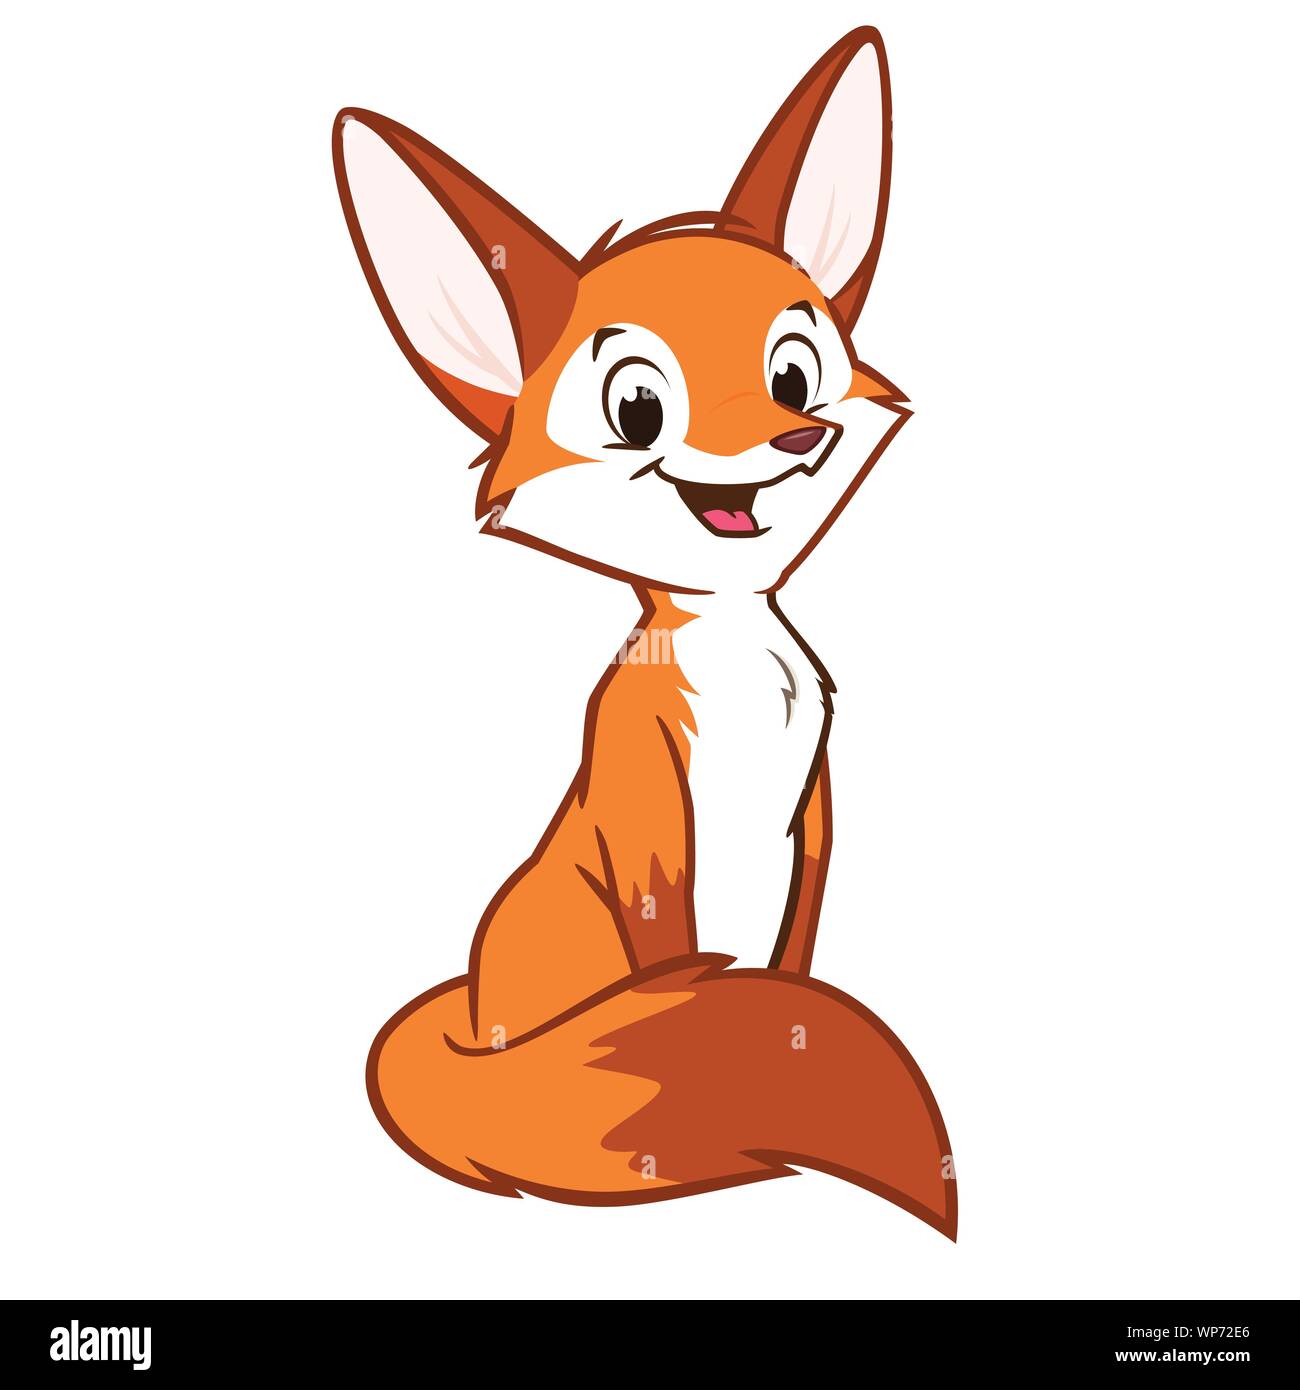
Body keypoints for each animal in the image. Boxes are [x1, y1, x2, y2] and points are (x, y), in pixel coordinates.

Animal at [333, 27, 956, 1236]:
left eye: (793, 371)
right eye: (638, 409)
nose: (796, 435)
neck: (739, 659)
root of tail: (470, 1025)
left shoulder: (812, 815)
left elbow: (792, 962)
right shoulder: (648, 815)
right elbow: (680, 953)